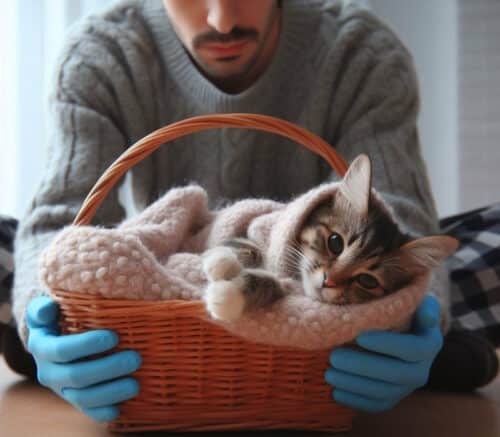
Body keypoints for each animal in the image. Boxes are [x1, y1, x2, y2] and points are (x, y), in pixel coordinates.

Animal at [201, 153, 458, 320]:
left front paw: (227, 295)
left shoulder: (295, 292)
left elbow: (272, 283)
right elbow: (244, 246)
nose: (329, 280)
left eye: (368, 281)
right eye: (335, 243)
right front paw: (221, 261)